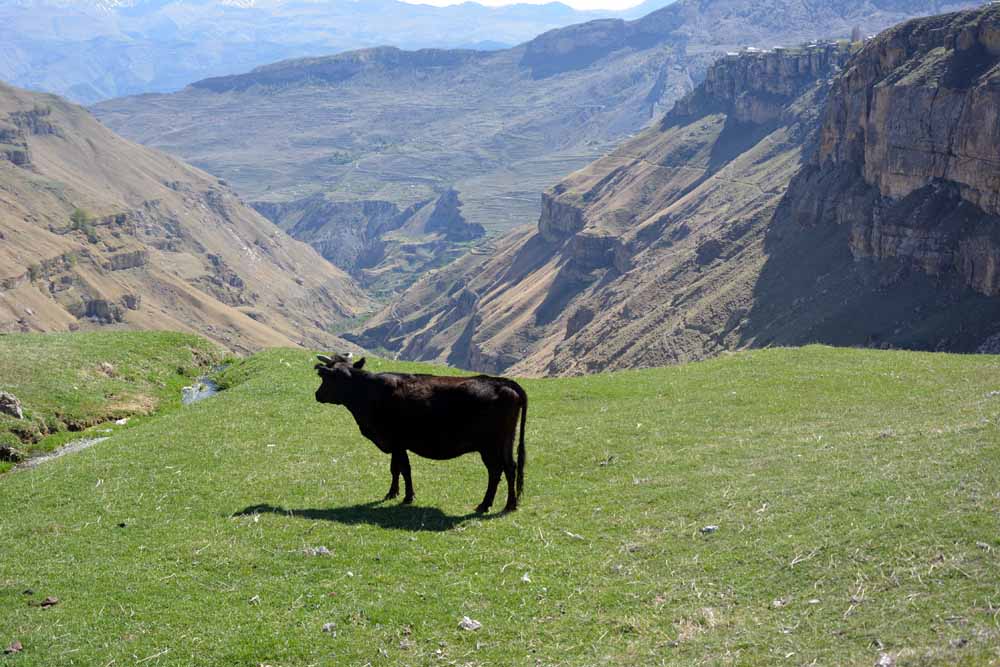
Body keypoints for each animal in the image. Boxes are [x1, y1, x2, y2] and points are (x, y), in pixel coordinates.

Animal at [316, 354, 528, 516]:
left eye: (326, 378)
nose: (317, 394)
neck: (368, 392)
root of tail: (501, 381)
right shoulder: (396, 443)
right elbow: (396, 469)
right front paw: (392, 494)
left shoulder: (396, 440)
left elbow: (403, 469)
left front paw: (407, 497)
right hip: (507, 440)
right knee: (511, 468)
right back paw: (510, 505)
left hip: (489, 446)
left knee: (496, 471)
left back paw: (485, 505)